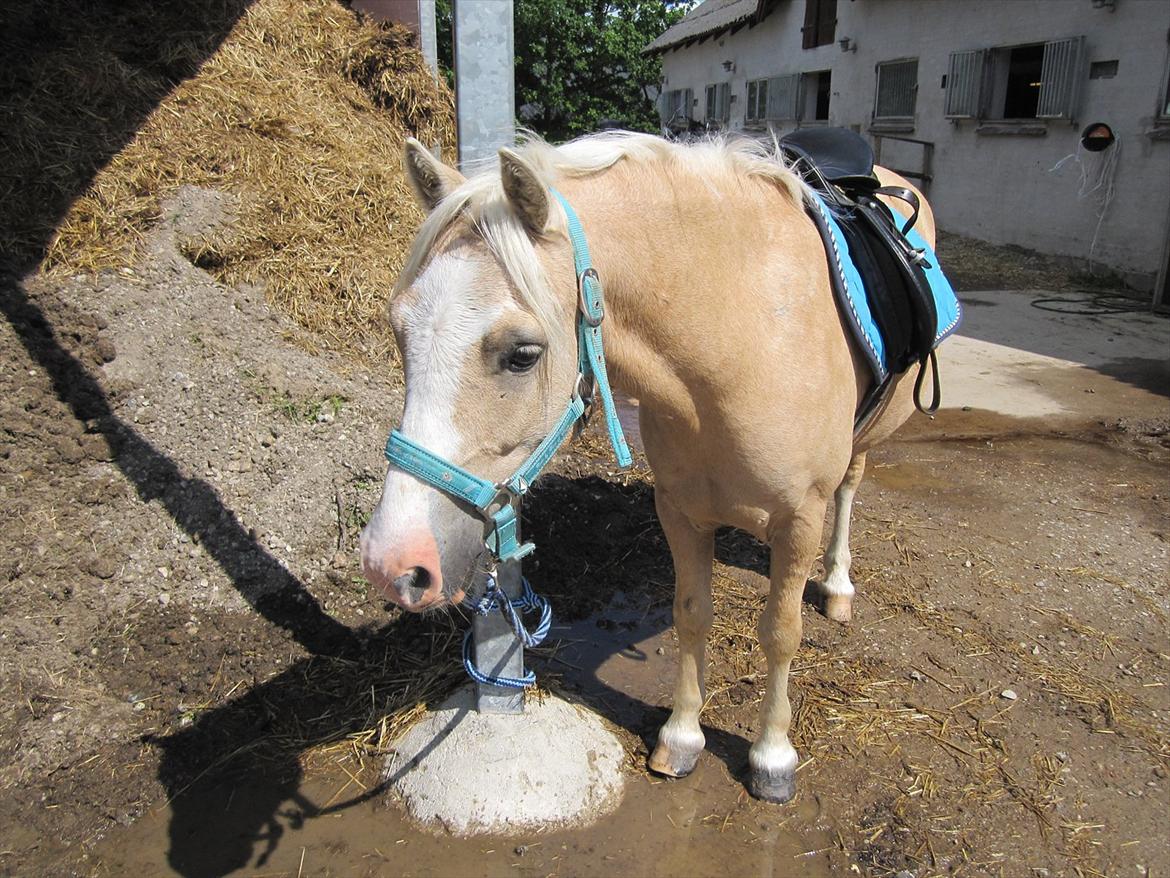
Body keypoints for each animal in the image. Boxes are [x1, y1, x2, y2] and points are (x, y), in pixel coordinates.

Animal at [359, 130, 939, 803]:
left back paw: (839, 585)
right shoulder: (680, 510)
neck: (744, 337)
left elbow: (780, 632)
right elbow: (691, 615)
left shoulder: (799, 519)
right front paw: (682, 738)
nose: (391, 565)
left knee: (850, 490)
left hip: (861, 447)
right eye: (398, 331)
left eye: (522, 354)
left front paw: (772, 756)